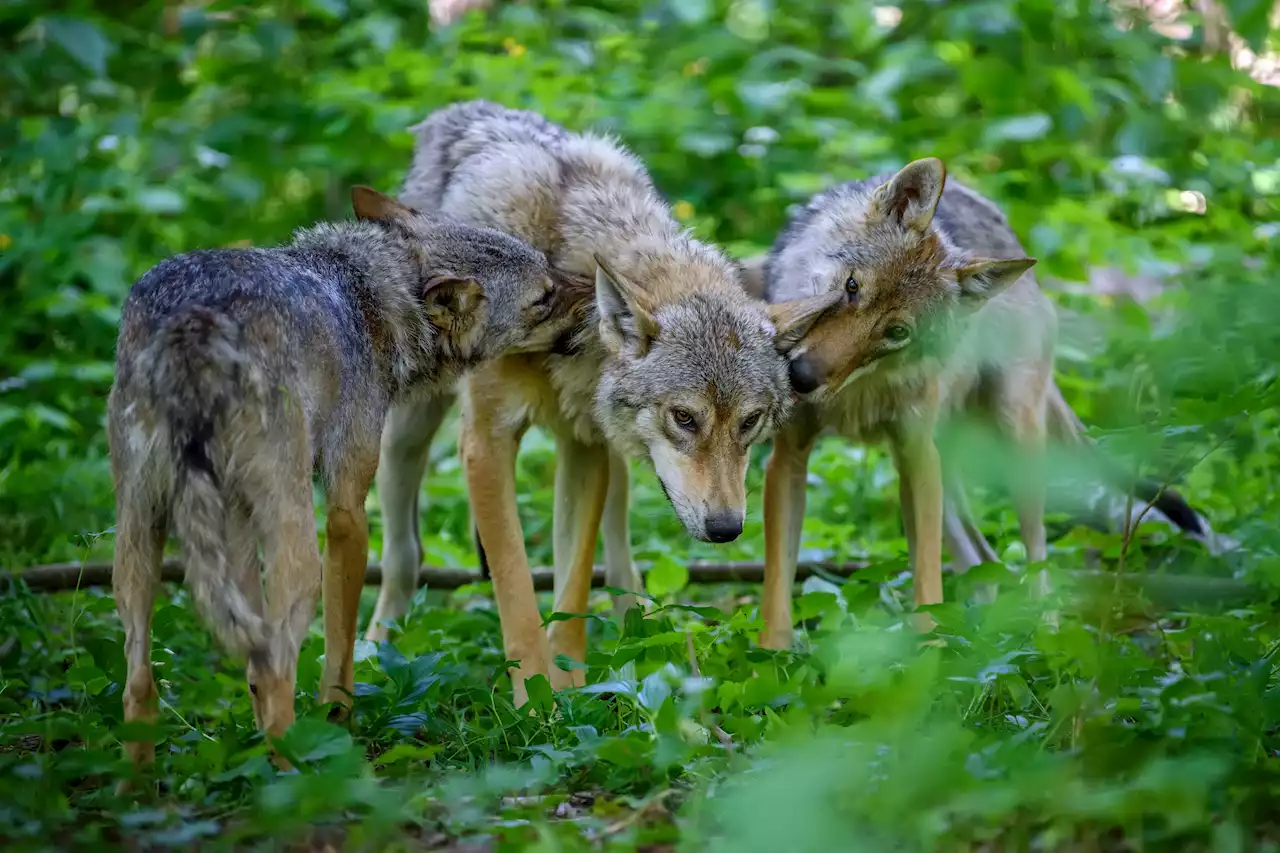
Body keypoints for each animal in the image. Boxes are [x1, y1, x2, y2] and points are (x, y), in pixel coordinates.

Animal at [110, 184, 581, 763]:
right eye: (543, 298)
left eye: (549, 268)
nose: (596, 296)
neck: (370, 296)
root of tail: (193, 319)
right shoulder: (348, 514)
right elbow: (341, 649)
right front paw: (339, 717)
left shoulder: (239, 525)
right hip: (298, 558)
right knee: (273, 669)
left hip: (141, 538)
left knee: (144, 685)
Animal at [366, 99, 834, 701]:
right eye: (684, 417)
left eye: (750, 422)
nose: (727, 530)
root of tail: (461, 109)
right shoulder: (487, 444)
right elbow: (517, 591)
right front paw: (534, 700)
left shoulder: (586, 444)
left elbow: (572, 588)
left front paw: (570, 691)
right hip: (406, 436)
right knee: (405, 553)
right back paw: (374, 652)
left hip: (612, 452)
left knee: (618, 557)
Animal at [752, 157, 1213, 645]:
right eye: (853, 287)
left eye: (896, 332)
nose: (800, 377)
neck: (855, 393)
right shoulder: (789, 458)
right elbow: (777, 588)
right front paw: (772, 655)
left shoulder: (917, 458)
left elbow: (927, 583)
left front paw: (929, 650)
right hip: (945, 476)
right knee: (983, 561)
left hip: (1013, 451)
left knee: (1036, 560)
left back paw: (1043, 641)